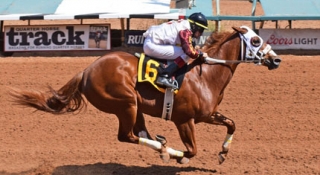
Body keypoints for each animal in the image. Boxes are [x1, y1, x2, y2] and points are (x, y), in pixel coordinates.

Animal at [9, 25, 280, 164]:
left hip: (135, 107)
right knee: (126, 136)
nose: (276, 59)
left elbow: (232, 124)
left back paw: (162, 146)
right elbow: (192, 150)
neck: (205, 75)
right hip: (125, 103)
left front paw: (223, 153)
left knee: (139, 133)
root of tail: (86, 70)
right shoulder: (184, 119)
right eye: (256, 40)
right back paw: (164, 149)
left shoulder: (207, 115)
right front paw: (180, 156)